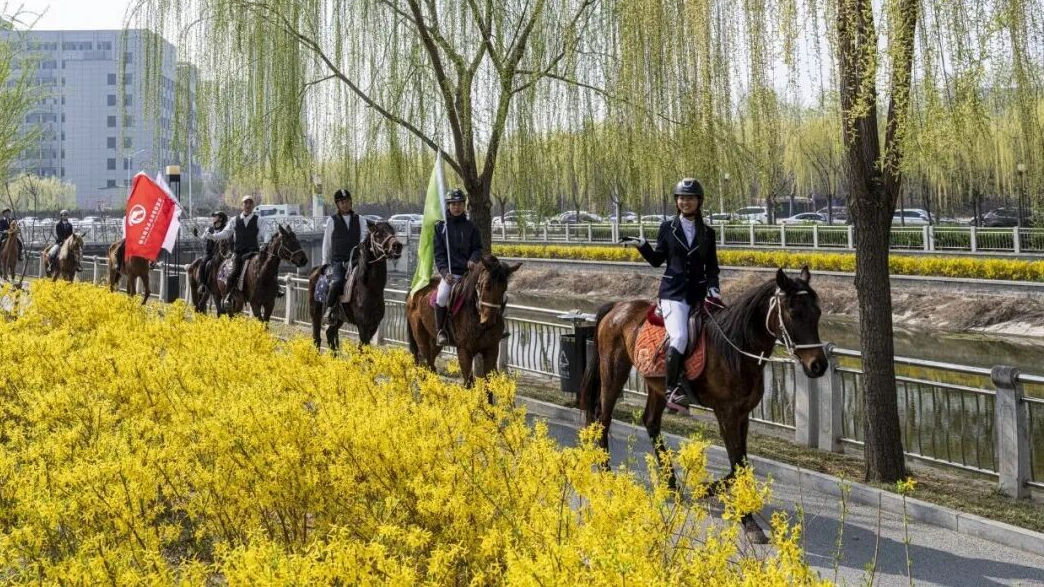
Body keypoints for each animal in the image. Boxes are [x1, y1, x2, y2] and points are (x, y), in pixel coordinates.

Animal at [307, 220, 403, 350]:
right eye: (378, 234)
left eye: (393, 231)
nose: (397, 246)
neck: (369, 288)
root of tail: (316, 270)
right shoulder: (363, 325)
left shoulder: (373, 325)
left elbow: (362, 349)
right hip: (315, 314)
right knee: (317, 338)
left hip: (338, 319)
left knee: (330, 333)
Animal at [406, 255, 522, 387]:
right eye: (486, 286)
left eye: (504, 288)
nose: (489, 321)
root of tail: (414, 290)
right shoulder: (464, 351)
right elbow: (469, 383)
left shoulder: (491, 349)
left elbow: (489, 384)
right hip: (421, 339)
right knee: (426, 362)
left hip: (434, 341)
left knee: (431, 363)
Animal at [577, 267, 828, 544]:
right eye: (795, 313)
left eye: (817, 313)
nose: (818, 365)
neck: (736, 349)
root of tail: (618, 306)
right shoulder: (727, 413)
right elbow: (738, 463)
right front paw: (744, 518)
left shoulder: (743, 414)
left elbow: (741, 464)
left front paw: (711, 492)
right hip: (614, 372)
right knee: (603, 416)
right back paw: (606, 474)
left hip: (657, 384)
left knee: (651, 422)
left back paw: (672, 486)